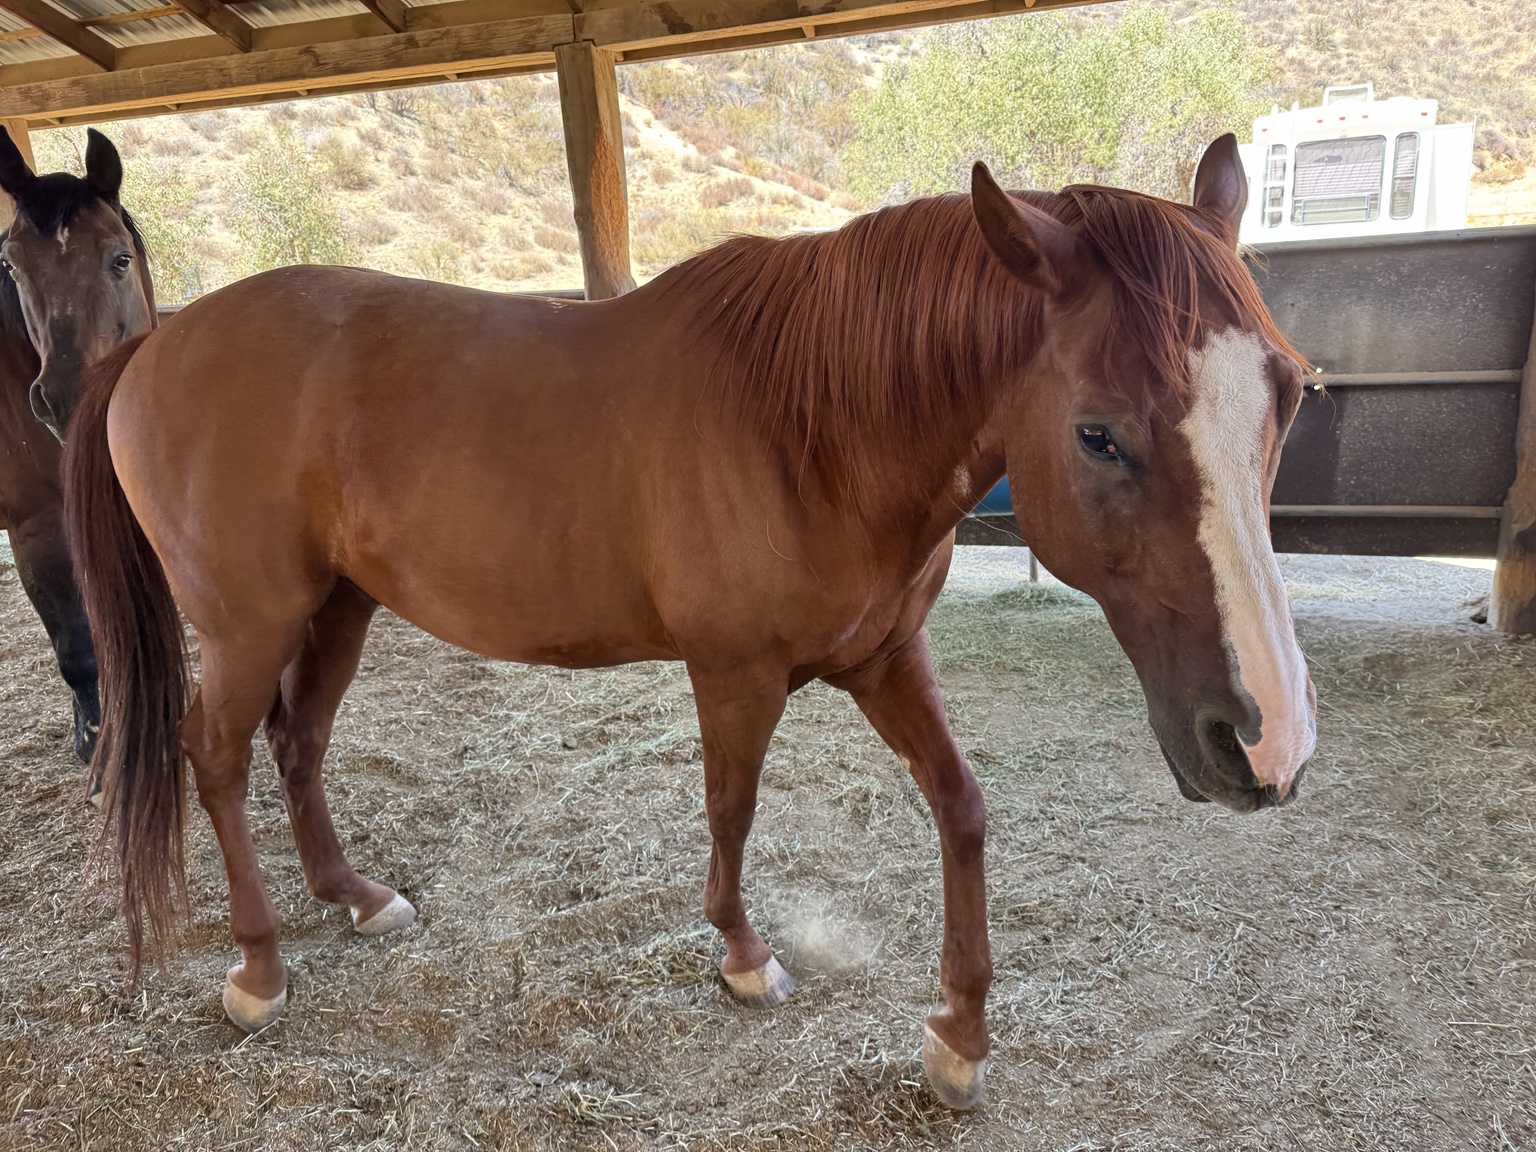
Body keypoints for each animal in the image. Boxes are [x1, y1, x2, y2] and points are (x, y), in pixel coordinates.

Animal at [37, 133, 1314, 1110]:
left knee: (296, 743)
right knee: (214, 757)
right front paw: (746, 961)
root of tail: (155, 344)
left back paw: (355, 898)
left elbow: (961, 811)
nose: (1268, 741)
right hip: (247, 624)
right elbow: (732, 811)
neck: (818, 424)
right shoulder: (735, 672)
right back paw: (257, 970)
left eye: (1290, 394)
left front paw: (957, 1037)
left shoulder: (884, 658)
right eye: (1099, 433)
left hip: (338, 607)